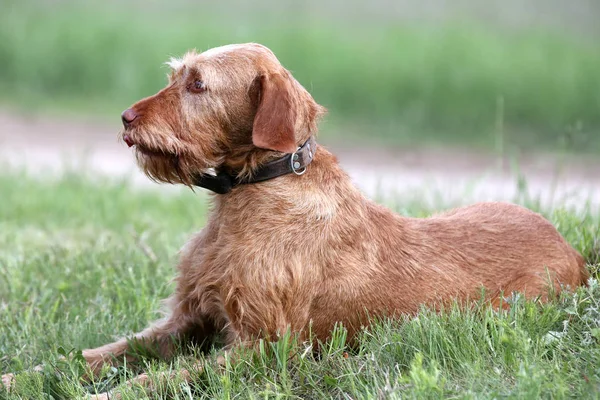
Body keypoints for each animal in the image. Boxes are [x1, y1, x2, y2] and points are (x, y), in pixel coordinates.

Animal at [2, 43, 588, 396]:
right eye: (178, 76)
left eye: (198, 85)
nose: (125, 118)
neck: (250, 194)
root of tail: (572, 250)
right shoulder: (186, 321)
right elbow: (94, 354)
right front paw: (23, 377)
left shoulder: (262, 348)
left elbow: (148, 382)